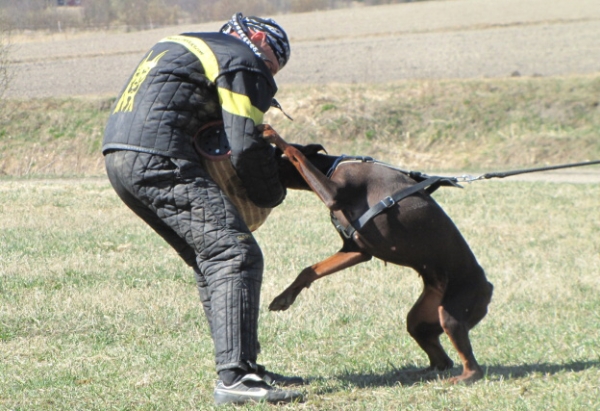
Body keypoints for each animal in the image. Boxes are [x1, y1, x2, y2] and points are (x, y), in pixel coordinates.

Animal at [260, 124, 494, 384]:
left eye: (270, 159)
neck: (332, 168)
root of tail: (488, 287)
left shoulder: (334, 192)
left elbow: (295, 153)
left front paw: (272, 133)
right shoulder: (356, 250)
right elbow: (309, 271)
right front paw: (284, 297)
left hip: (453, 312)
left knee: (472, 365)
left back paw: (460, 378)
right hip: (423, 315)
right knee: (440, 357)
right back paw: (420, 373)